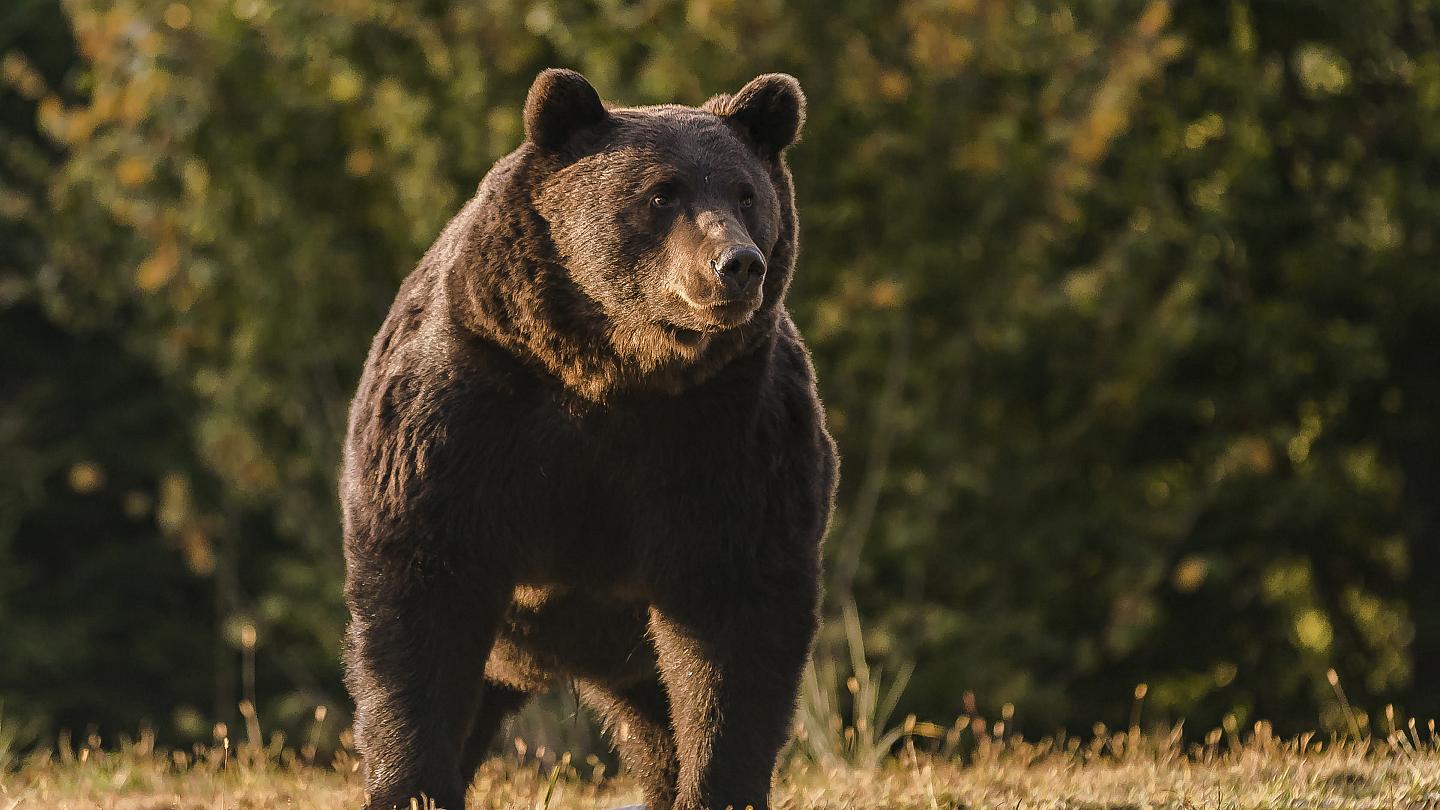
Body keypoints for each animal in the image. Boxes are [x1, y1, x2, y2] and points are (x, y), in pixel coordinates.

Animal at [341, 69, 840, 807]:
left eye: (747, 194)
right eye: (662, 192)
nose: (737, 264)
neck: (614, 370)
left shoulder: (732, 436)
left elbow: (735, 626)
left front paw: (717, 784)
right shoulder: (467, 413)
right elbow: (421, 601)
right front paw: (412, 786)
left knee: (658, 722)